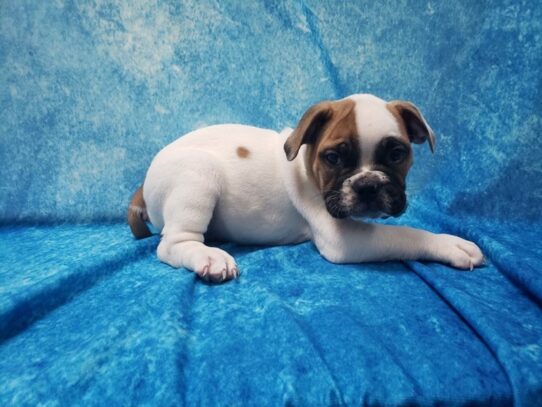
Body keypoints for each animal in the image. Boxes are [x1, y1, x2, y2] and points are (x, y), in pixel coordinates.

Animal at [130, 93, 486, 282]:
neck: (307, 165)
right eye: (333, 158)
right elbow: (405, 234)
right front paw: (449, 244)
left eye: (397, 154)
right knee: (172, 244)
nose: (368, 185)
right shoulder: (344, 239)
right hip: (198, 176)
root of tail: (144, 185)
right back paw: (208, 256)